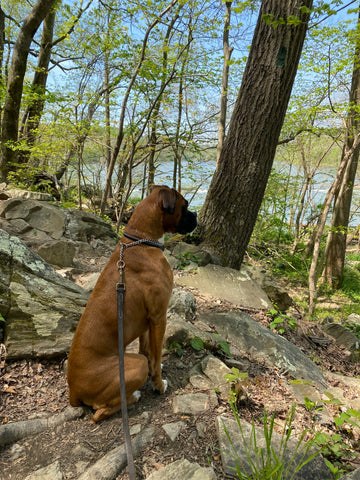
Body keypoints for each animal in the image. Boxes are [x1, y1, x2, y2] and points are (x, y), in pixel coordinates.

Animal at [67, 186, 197, 422]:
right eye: (185, 206)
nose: (197, 215)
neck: (141, 240)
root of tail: (73, 389)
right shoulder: (159, 317)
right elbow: (155, 355)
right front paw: (158, 384)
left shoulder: (147, 321)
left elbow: (148, 350)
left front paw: (156, 367)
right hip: (133, 366)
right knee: (99, 412)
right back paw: (133, 396)